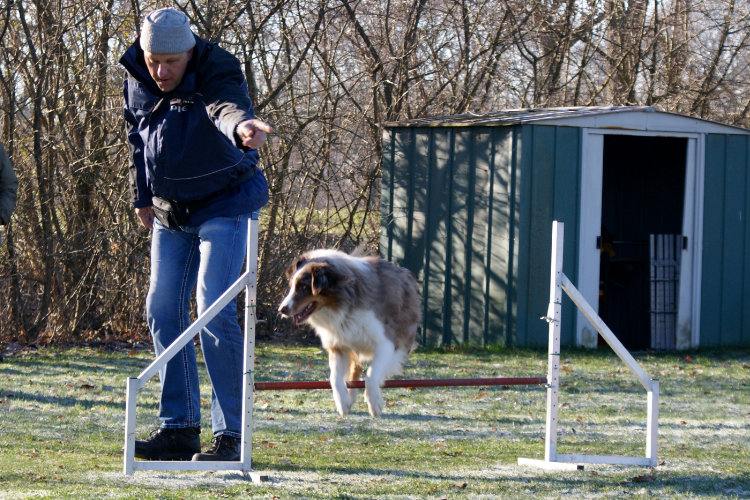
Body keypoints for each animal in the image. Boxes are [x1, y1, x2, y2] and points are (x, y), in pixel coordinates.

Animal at [282, 248, 424, 416]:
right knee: (355, 369)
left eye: (304, 287)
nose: (282, 309)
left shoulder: (387, 343)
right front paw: (342, 402)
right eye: (291, 286)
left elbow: (371, 375)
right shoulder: (338, 345)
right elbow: (335, 378)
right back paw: (350, 398)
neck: (342, 304)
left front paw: (374, 404)